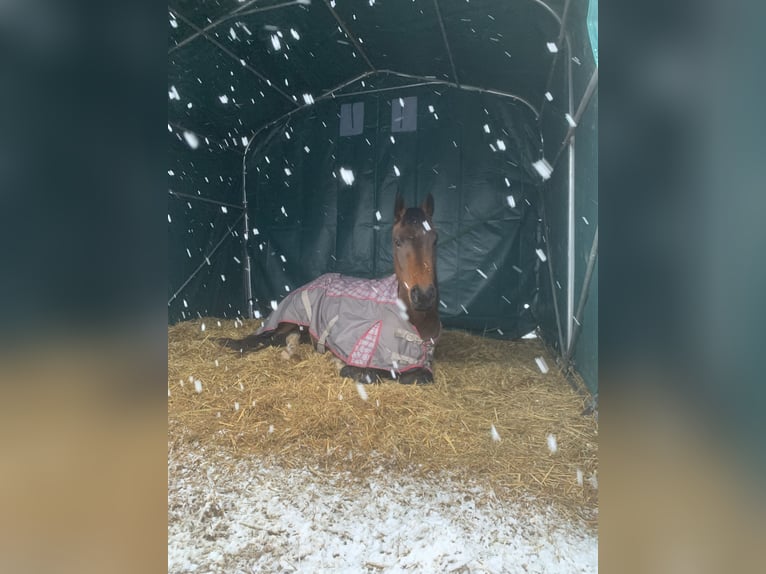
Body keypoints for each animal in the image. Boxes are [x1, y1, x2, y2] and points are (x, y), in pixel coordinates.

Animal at [219, 193, 440, 385]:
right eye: (397, 241)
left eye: (435, 240)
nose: (423, 296)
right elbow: (371, 374)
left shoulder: (423, 364)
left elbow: (420, 376)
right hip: (288, 319)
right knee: (264, 336)